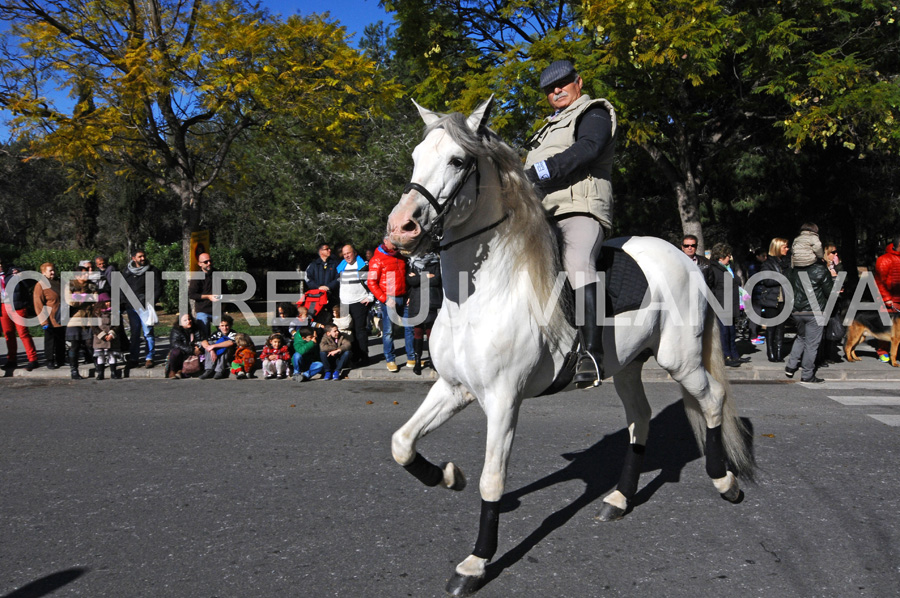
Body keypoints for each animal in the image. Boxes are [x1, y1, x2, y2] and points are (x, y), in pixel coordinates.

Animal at [386, 98, 752, 596]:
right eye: (416, 156)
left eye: (458, 161)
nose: (400, 228)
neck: (481, 294)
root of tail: (687, 259)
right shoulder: (452, 387)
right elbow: (402, 444)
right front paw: (446, 475)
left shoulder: (503, 400)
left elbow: (492, 479)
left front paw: (476, 563)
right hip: (628, 367)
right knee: (640, 421)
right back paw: (619, 499)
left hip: (681, 360)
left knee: (711, 401)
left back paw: (724, 482)